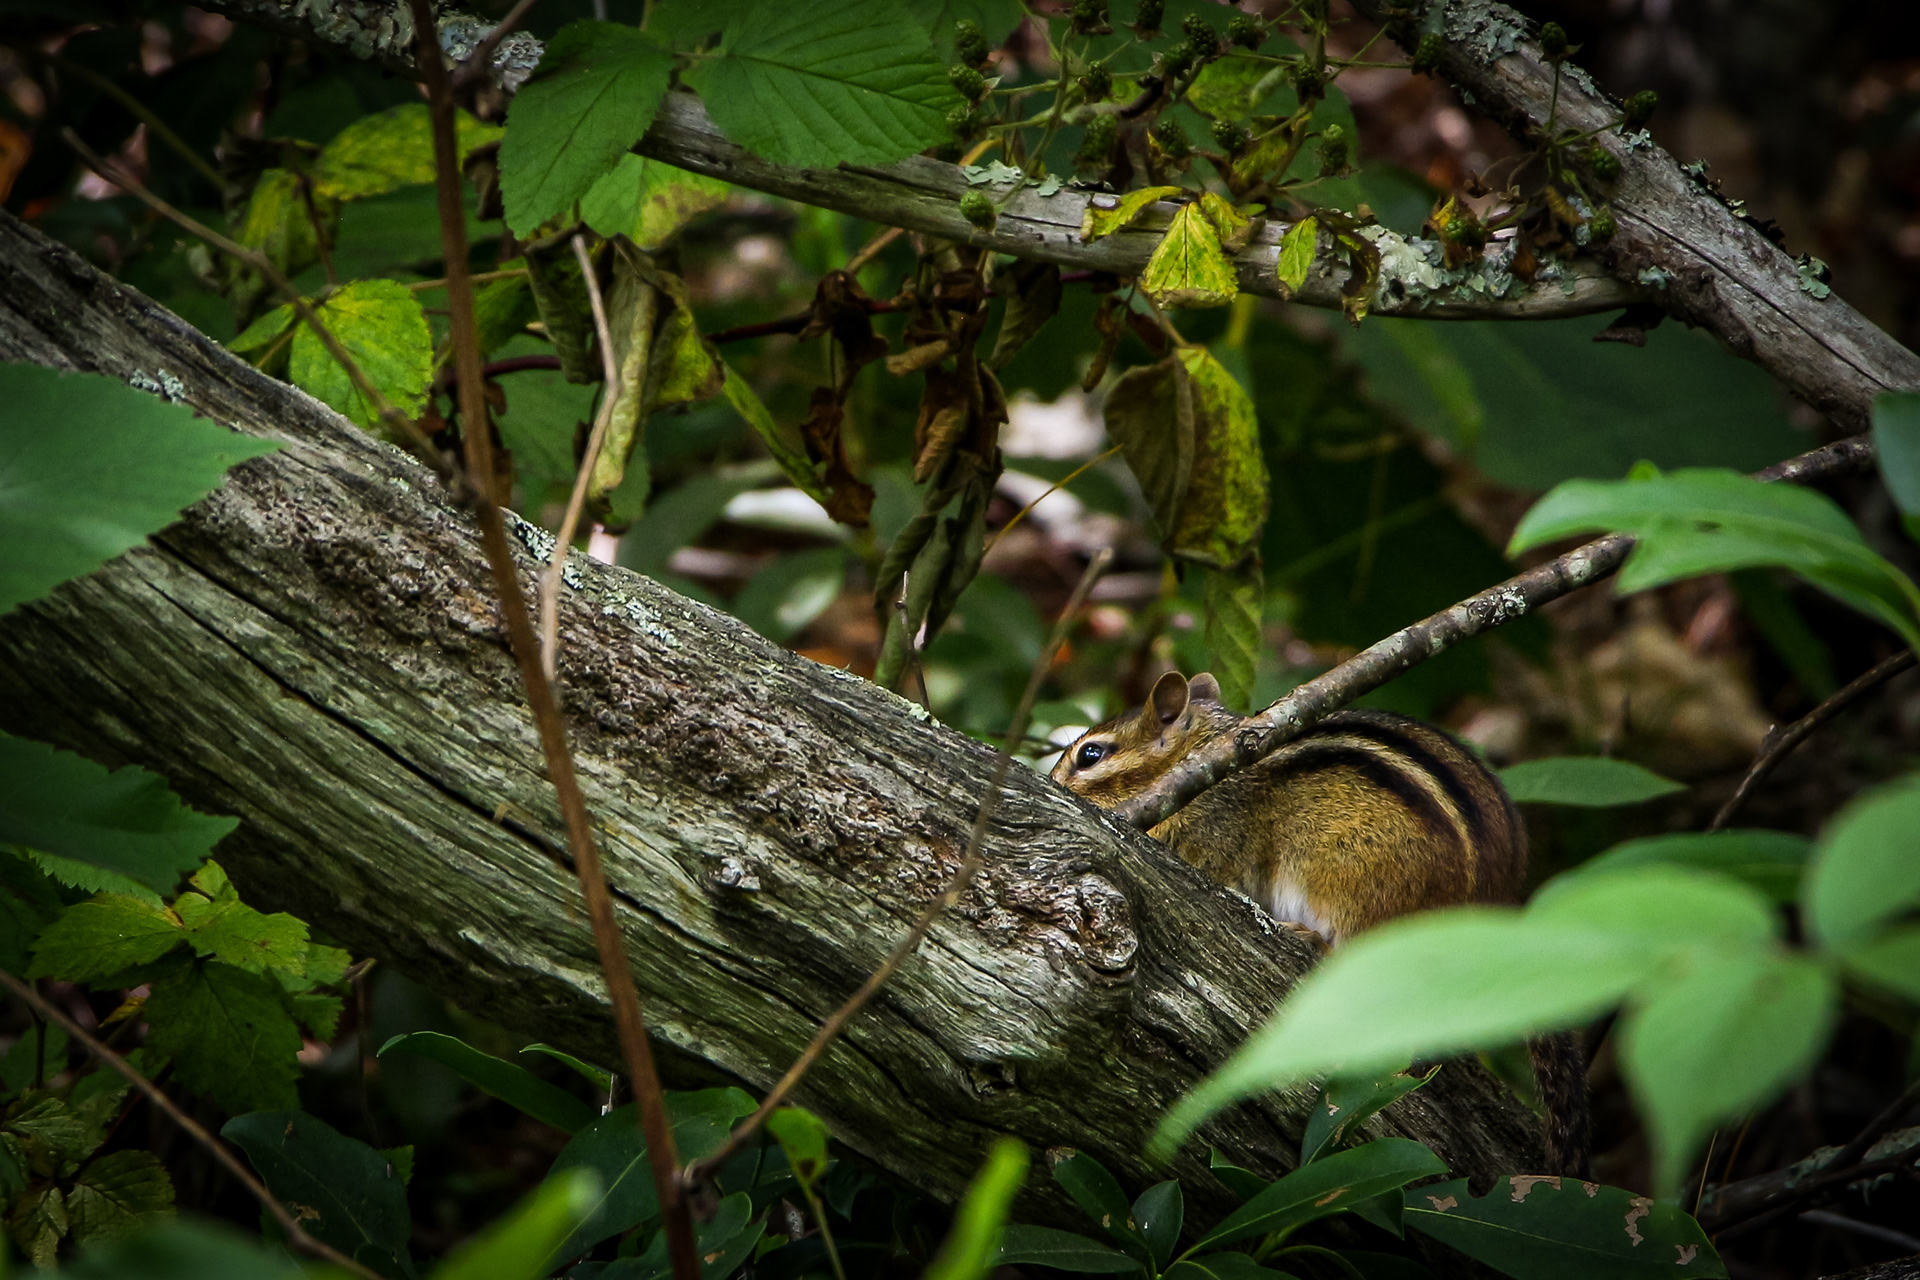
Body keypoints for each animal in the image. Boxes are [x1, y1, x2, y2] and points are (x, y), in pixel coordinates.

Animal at [1051, 669, 1590, 1177]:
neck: (1192, 762)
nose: (1055, 783)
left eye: (1091, 754)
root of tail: (1501, 903)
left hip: (1346, 879)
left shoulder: (1212, 840)